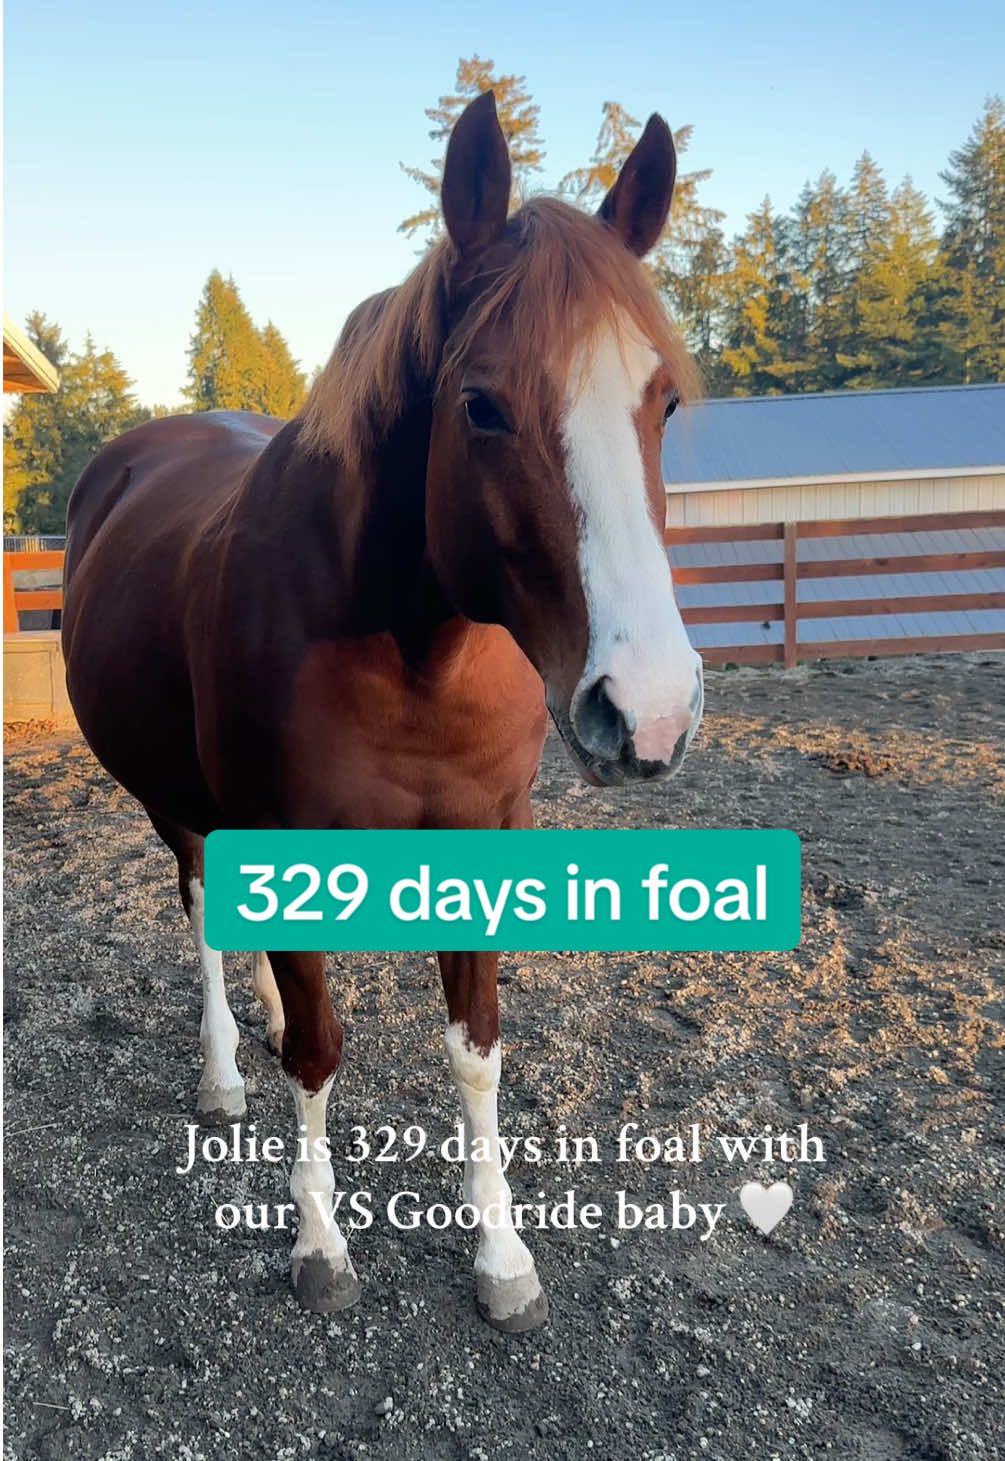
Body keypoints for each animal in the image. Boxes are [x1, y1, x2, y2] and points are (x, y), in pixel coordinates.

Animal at [61, 91, 703, 1332]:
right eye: (482, 406)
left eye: (665, 400)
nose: (646, 711)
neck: (415, 651)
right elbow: (318, 1053)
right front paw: (320, 1246)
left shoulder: (485, 840)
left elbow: (477, 1050)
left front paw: (502, 1257)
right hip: (179, 806)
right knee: (204, 906)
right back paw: (225, 1070)